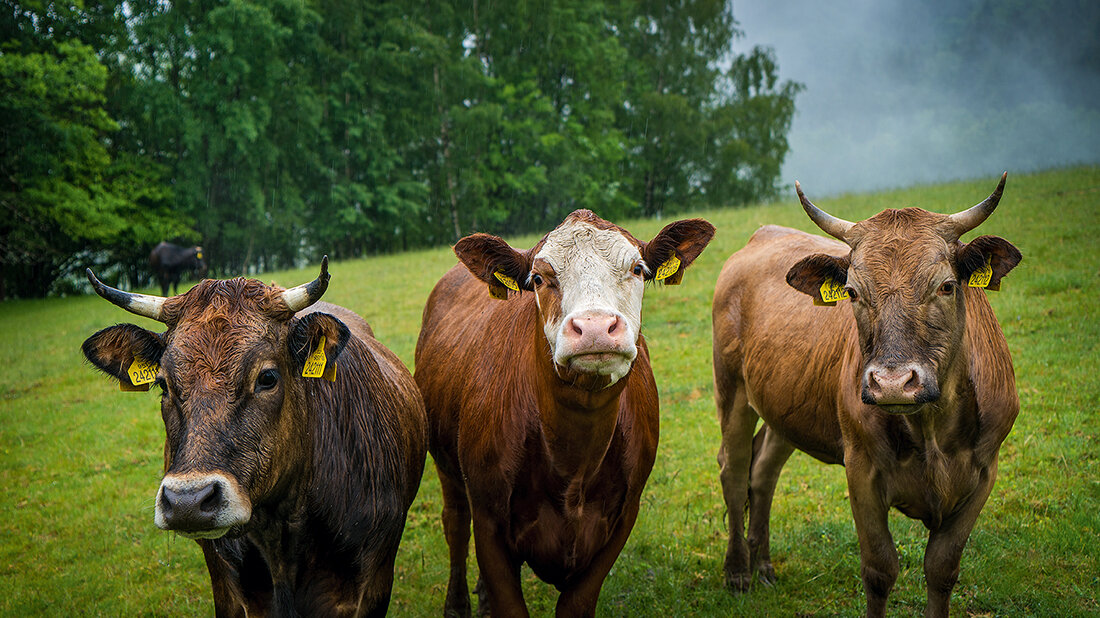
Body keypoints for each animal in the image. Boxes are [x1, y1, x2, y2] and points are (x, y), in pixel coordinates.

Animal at [415, 210, 715, 617]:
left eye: (638, 269)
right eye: (540, 278)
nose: (594, 328)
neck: (573, 461)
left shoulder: (622, 518)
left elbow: (576, 603)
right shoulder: (489, 515)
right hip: (448, 469)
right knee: (457, 525)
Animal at [712, 174, 1021, 617]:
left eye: (946, 286)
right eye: (853, 292)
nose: (892, 382)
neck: (931, 430)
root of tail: (763, 235)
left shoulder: (984, 472)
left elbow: (942, 568)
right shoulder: (860, 469)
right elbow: (879, 570)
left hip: (786, 406)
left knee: (763, 470)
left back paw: (764, 566)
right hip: (731, 389)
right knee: (734, 471)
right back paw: (738, 571)